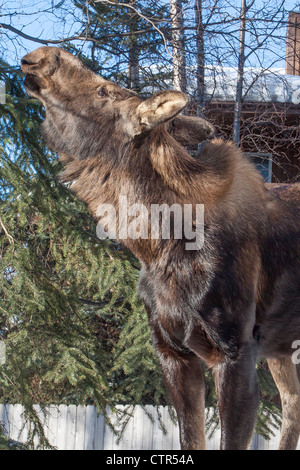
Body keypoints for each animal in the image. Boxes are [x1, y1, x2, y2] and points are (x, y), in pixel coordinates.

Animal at [21, 47, 300, 452]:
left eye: (104, 91)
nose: (43, 55)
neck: (155, 246)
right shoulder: (172, 353)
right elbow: (190, 438)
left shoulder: (236, 351)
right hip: (281, 350)